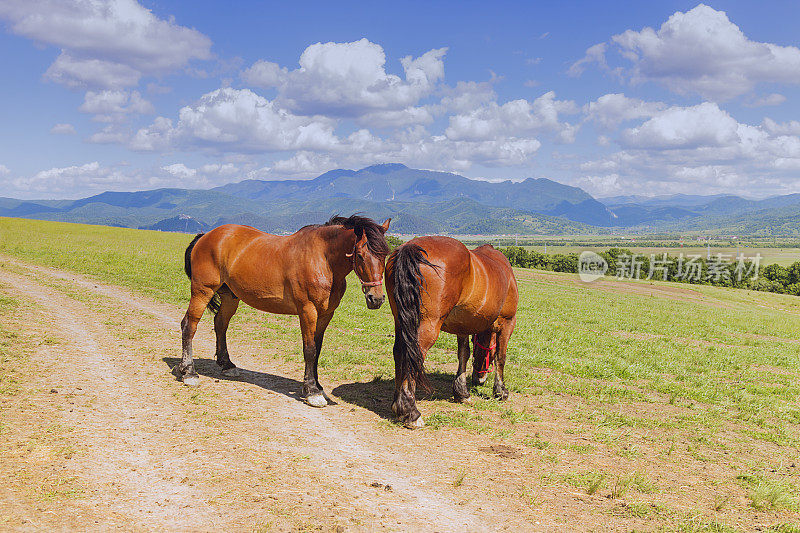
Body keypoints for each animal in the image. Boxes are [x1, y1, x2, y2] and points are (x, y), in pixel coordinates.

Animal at [177, 214, 390, 406]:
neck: (322, 259)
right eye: (360, 255)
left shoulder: (326, 314)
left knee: (220, 324)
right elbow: (310, 349)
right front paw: (312, 391)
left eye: (384, 256)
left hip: (230, 297)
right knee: (189, 325)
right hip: (202, 291)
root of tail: (205, 236)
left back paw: (227, 364)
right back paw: (189, 372)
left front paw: (317, 385)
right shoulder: (307, 311)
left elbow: (318, 348)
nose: (376, 298)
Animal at [386, 237, 520, 428]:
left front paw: (461, 392)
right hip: (427, 325)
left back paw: (397, 406)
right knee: (413, 355)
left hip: (401, 321)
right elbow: (500, 357)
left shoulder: (463, 326)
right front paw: (501, 391)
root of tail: (409, 247)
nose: (479, 379)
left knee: (399, 352)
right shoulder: (508, 322)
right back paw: (410, 411)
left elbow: (463, 354)